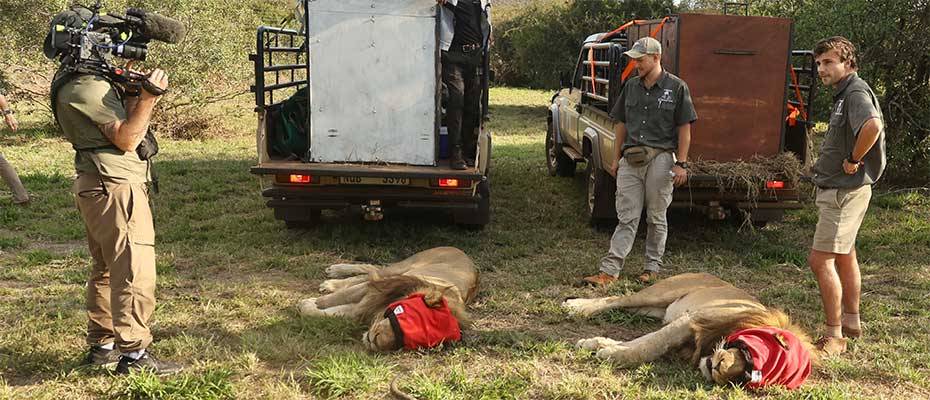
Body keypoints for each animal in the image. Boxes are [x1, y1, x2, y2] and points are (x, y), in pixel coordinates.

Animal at [296, 245, 474, 352]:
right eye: (406, 316)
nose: (376, 342)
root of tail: (464, 253)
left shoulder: (365, 307)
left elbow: (342, 312)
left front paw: (309, 306)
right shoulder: (374, 289)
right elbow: (340, 296)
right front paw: (309, 302)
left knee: (368, 273)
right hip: (401, 268)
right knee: (371, 269)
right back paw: (334, 274)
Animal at [560, 274, 812, 390]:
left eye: (745, 378)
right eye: (750, 356)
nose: (719, 368)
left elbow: (645, 343)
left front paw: (602, 345)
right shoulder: (691, 320)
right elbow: (651, 344)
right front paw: (606, 351)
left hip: (655, 309)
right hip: (660, 293)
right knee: (616, 299)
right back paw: (577, 307)